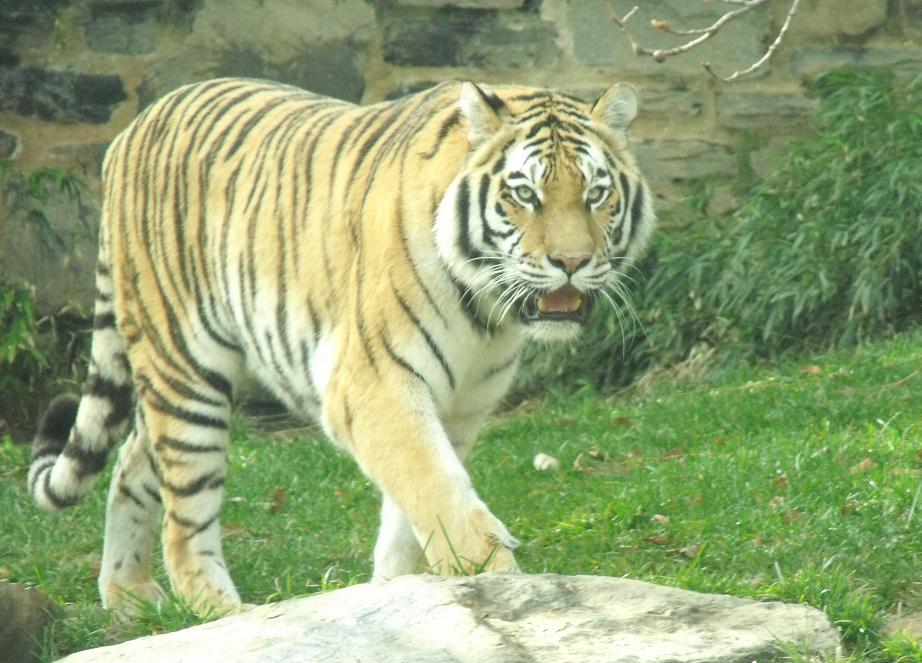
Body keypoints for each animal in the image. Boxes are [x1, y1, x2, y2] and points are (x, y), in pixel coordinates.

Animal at [28, 77, 654, 615]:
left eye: (596, 194)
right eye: (525, 194)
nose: (571, 263)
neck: (486, 313)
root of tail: (132, 129)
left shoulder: (459, 406)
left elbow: (413, 507)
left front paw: (397, 589)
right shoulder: (374, 384)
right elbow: (435, 487)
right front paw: (495, 578)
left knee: (134, 459)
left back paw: (129, 596)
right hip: (186, 370)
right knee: (182, 517)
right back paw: (227, 615)